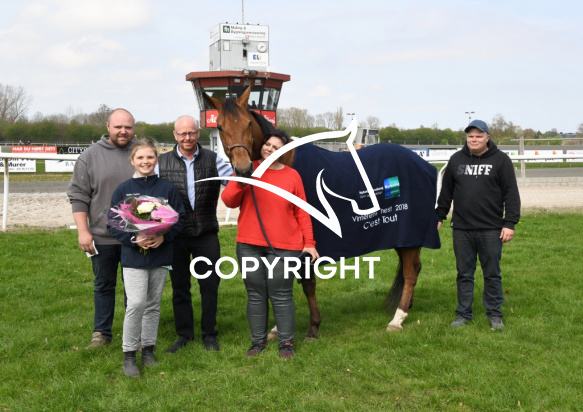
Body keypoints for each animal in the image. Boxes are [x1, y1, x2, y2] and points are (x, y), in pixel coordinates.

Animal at [203, 86, 440, 336]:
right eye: (220, 127)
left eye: (248, 123)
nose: (243, 169)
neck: (285, 162)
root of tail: (424, 165)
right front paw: (278, 328)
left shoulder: (307, 246)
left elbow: (308, 284)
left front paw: (313, 325)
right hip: (401, 236)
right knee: (413, 268)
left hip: (409, 231)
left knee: (411, 271)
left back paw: (398, 318)